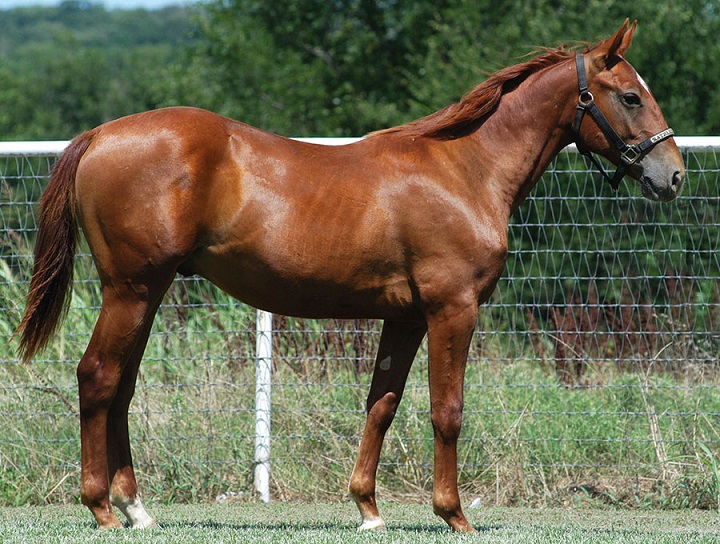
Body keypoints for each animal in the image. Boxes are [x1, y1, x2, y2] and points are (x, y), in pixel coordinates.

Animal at [16, 20, 684, 532]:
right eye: (630, 96)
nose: (673, 175)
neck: (464, 170)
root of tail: (101, 134)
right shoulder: (452, 309)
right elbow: (447, 410)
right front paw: (454, 515)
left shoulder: (405, 318)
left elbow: (381, 404)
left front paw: (368, 508)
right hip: (131, 291)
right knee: (98, 378)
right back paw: (102, 509)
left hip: (146, 294)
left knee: (122, 387)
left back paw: (138, 509)